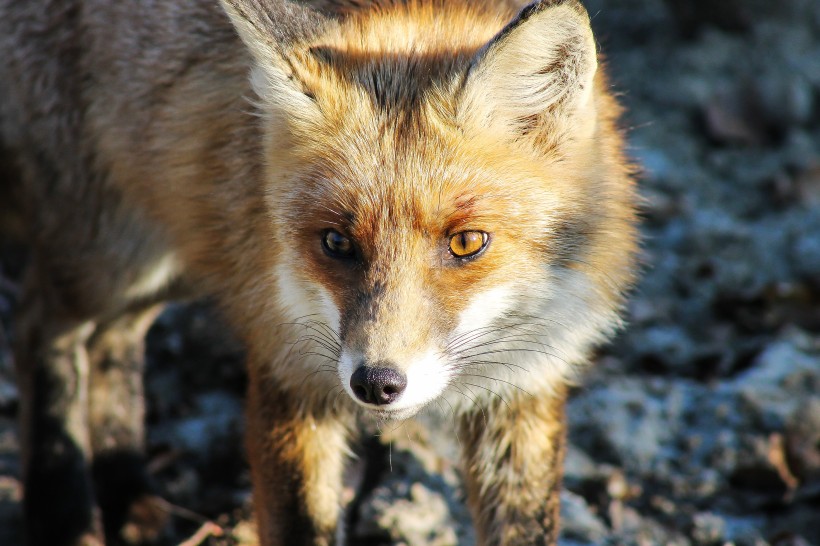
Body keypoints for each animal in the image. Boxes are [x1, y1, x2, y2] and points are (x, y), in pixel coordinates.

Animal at [0, 0, 640, 540]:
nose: (376, 383)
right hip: (110, 260)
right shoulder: (287, 369)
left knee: (113, 341)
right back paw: (64, 514)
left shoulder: (525, 389)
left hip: (178, 253)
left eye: (467, 242)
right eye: (336, 242)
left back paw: (127, 490)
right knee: (40, 330)